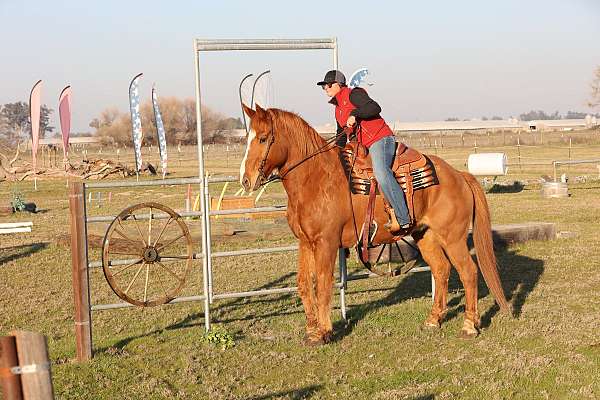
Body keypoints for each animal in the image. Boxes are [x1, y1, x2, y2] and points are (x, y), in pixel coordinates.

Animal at [239, 103, 510, 344]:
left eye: (263, 138)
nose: (245, 180)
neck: (316, 178)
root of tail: (459, 175)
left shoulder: (326, 243)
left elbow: (324, 284)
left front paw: (324, 333)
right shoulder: (306, 242)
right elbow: (304, 284)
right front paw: (311, 330)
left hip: (452, 238)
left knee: (468, 272)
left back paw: (469, 326)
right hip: (426, 236)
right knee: (441, 270)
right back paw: (434, 320)